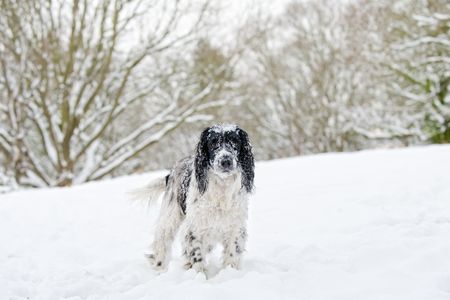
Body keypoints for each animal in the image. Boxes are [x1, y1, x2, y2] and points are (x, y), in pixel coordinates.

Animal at [135, 123, 255, 274]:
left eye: (235, 141)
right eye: (213, 142)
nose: (225, 161)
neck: (221, 189)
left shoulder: (236, 228)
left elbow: (232, 255)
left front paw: (229, 273)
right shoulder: (195, 229)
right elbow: (197, 257)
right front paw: (200, 276)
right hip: (170, 217)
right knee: (162, 241)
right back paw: (160, 268)